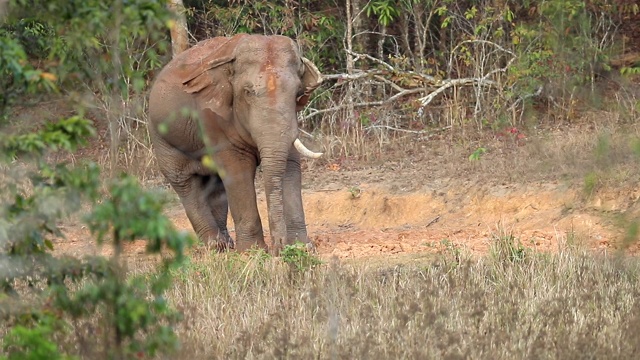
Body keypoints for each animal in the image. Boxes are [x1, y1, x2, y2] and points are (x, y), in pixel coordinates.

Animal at [148, 33, 322, 253]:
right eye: (247, 92)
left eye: (298, 93)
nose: (278, 248)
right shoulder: (212, 116)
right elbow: (237, 168)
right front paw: (252, 251)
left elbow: (290, 166)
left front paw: (302, 248)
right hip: (161, 137)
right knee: (185, 182)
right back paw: (215, 246)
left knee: (215, 185)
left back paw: (227, 245)